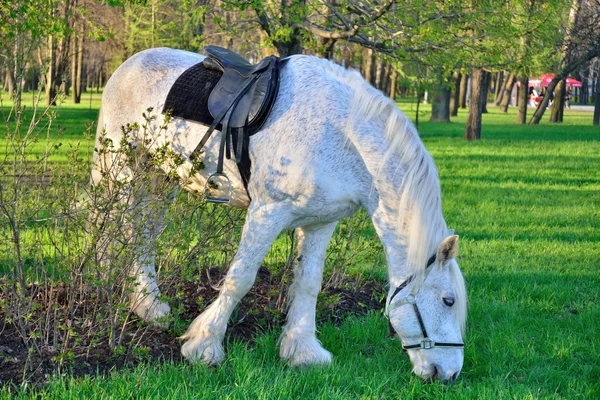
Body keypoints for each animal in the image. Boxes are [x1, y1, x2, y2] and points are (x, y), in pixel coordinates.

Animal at [91, 47, 468, 382]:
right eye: (448, 301)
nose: (449, 374)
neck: (339, 134)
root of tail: (130, 63)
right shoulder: (267, 213)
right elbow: (240, 278)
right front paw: (204, 346)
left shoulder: (321, 222)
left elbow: (309, 283)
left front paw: (302, 350)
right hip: (122, 168)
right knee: (117, 229)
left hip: (161, 176)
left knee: (144, 234)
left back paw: (148, 306)